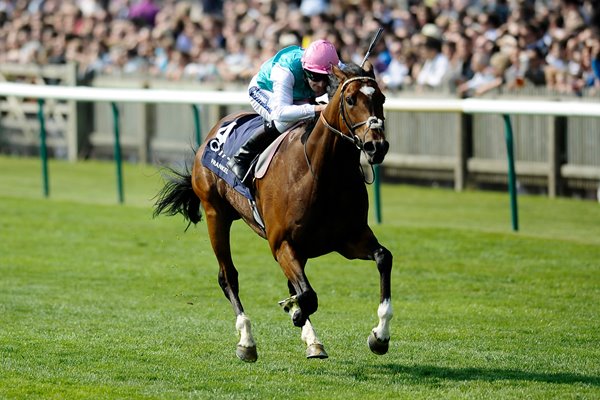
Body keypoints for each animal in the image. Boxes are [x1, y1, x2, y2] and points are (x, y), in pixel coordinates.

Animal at [152, 61, 392, 362]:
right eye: (350, 100)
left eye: (381, 98)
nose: (377, 146)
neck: (321, 173)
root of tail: (215, 129)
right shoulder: (281, 243)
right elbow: (308, 296)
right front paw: (296, 313)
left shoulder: (348, 239)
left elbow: (383, 258)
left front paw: (380, 336)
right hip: (215, 213)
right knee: (228, 276)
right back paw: (247, 340)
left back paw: (311, 339)